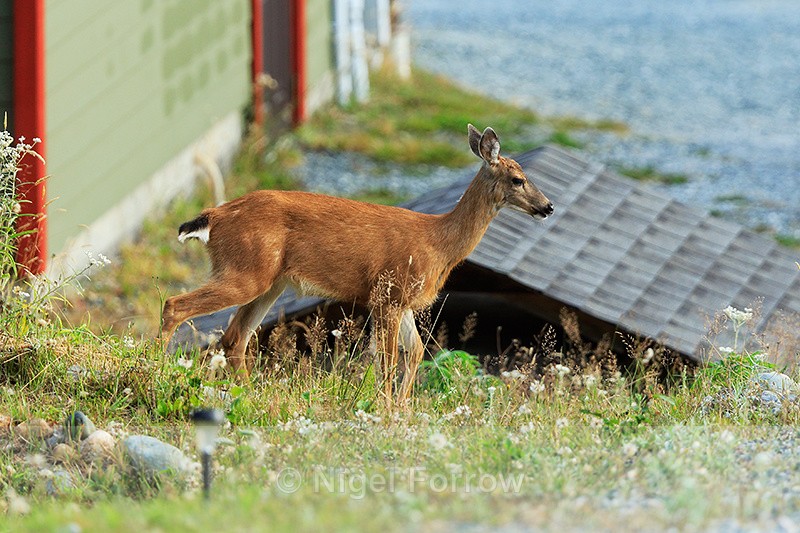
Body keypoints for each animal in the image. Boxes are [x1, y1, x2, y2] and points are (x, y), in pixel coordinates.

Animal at [160, 124, 554, 405]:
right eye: (518, 179)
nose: (548, 206)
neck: (438, 242)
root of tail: (215, 215)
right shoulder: (388, 295)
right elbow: (389, 360)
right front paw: (387, 409)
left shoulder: (400, 301)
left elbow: (415, 352)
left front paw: (402, 409)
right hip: (246, 271)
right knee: (175, 305)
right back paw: (159, 370)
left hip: (270, 282)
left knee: (234, 338)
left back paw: (251, 395)